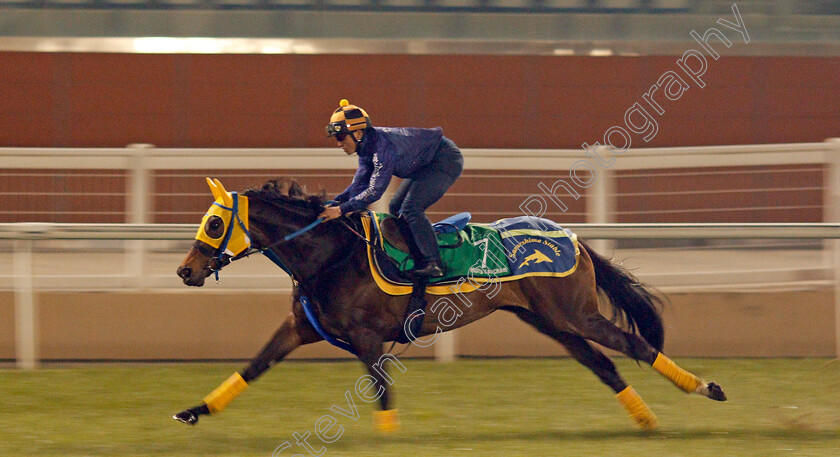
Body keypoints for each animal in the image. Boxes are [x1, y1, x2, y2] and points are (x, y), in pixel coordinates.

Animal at [174, 177, 724, 432]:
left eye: (215, 224)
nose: (185, 271)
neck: (331, 253)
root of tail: (573, 237)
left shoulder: (368, 339)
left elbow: (383, 395)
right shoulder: (299, 328)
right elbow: (253, 366)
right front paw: (194, 410)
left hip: (576, 313)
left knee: (632, 343)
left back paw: (706, 388)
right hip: (552, 322)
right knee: (604, 365)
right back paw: (646, 422)